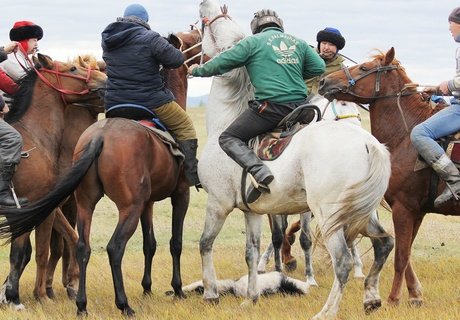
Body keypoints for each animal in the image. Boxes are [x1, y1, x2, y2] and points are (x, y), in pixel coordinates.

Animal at [0, 53, 106, 308]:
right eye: (73, 68)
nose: (105, 80)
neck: (34, 137)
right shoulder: (34, 210)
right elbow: (36, 252)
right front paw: (30, 296)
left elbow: (26, 252)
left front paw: (13, 295)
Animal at [197, 1, 392, 318]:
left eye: (214, 28)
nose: (206, 6)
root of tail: (368, 144)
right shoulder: (252, 211)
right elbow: (251, 252)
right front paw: (251, 298)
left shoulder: (218, 204)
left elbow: (205, 243)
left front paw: (211, 293)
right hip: (362, 212)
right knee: (384, 244)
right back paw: (371, 298)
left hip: (330, 215)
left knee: (343, 261)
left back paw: (327, 311)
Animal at [318, 47, 460, 304]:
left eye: (364, 68)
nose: (325, 81)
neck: (405, 135)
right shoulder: (416, 211)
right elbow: (408, 252)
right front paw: (414, 294)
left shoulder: (403, 208)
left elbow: (401, 257)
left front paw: (393, 299)